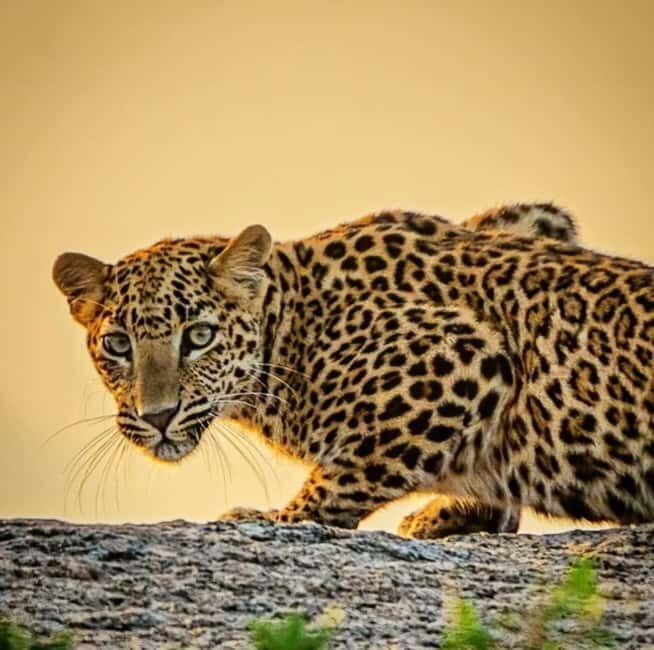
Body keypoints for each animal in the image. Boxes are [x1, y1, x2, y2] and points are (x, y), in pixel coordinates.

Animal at [53, 200, 654, 539]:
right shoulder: (537, 221)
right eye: (118, 345)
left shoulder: (465, 351)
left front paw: (268, 519)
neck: (294, 321)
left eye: (199, 336)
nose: (157, 416)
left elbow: (344, 472)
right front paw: (464, 512)